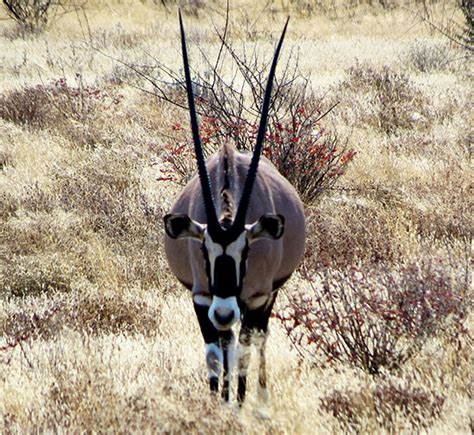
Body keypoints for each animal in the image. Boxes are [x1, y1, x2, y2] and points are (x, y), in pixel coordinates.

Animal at [163, 13, 306, 404]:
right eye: (203, 250)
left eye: (246, 252)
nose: (225, 312)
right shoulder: (202, 297)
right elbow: (215, 354)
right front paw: (217, 402)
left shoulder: (255, 298)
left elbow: (243, 351)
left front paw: (239, 403)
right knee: (227, 344)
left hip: (265, 298)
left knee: (257, 340)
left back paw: (260, 398)